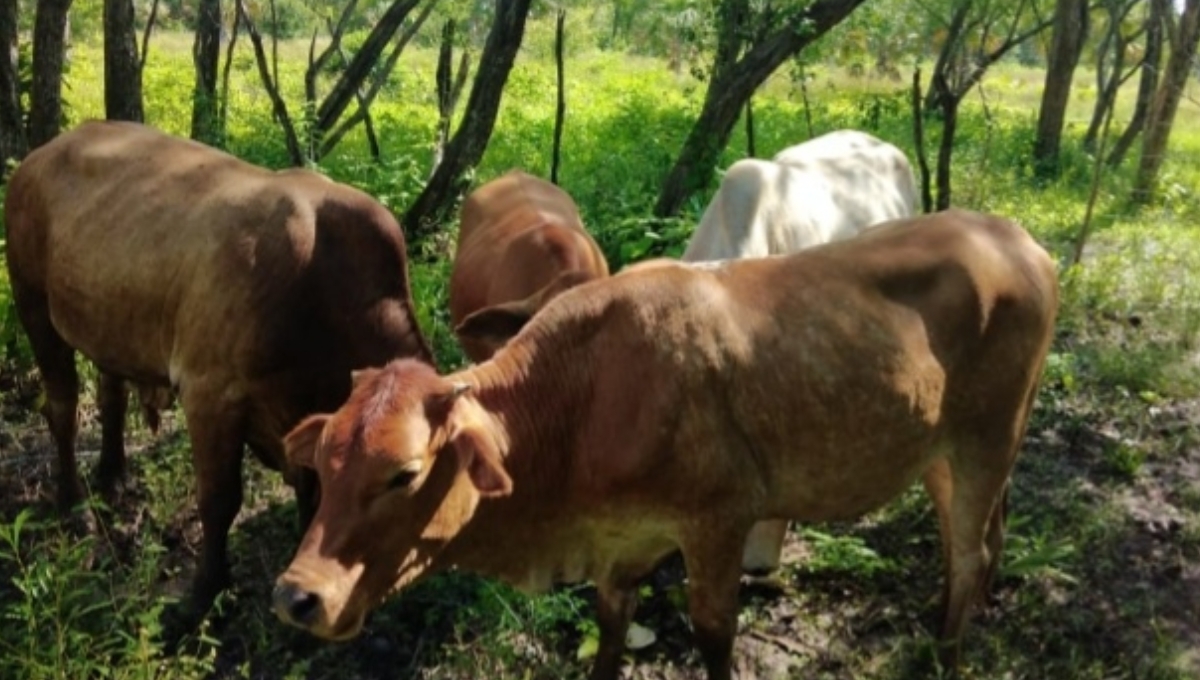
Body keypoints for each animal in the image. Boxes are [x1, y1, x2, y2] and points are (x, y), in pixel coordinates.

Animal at [2, 119, 434, 618]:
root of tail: (42, 154)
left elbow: (308, 487)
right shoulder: (210, 392)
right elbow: (220, 499)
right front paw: (202, 596)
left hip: (108, 323)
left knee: (111, 393)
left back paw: (113, 477)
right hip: (33, 302)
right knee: (63, 409)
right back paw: (76, 510)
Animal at [274, 209, 1060, 676]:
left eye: (404, 473)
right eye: (325, 464)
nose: (296, 596)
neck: (581, 401)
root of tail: (1015, 235)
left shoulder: (718, 522)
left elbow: (711, 632)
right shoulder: (620, 545)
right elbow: (611, 628)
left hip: (988, 438)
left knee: (970, 550)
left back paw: (946, 653)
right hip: (947, 454)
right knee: (975, 541)